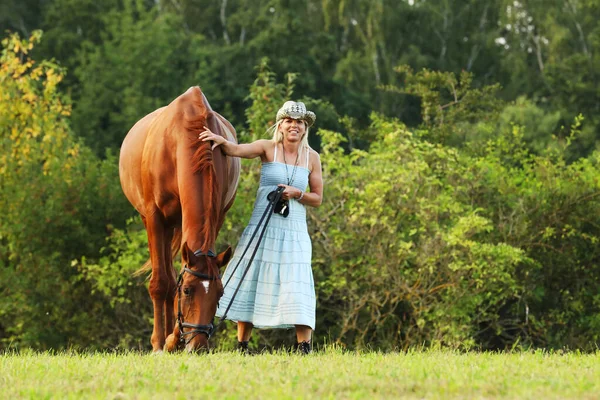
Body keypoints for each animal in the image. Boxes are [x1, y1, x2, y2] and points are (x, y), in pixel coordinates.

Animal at [118, 86, 240, 352]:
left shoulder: (213, 218)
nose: (199, 346)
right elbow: (162, 283)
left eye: (220, 293)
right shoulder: (155, 217)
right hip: (155, 222)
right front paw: (158, 344)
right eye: (188, 291)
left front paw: (173, 340)